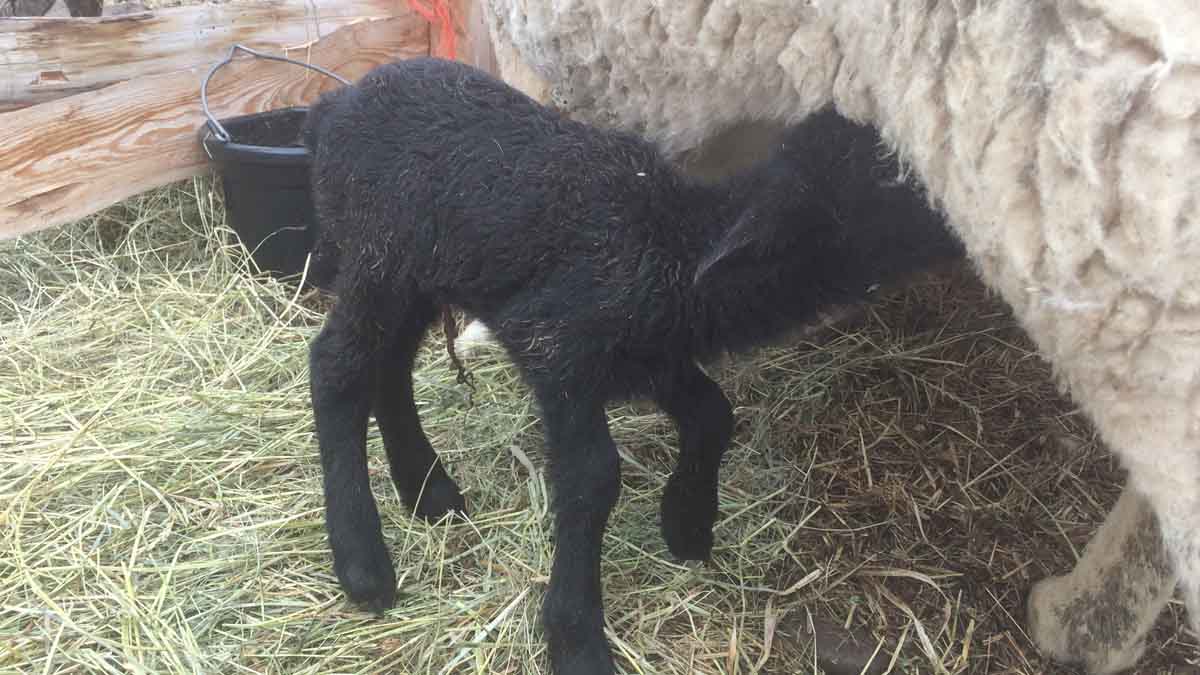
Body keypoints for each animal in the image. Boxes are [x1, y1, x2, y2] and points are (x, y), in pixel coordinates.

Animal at [302, 56, 964, 672]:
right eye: (892, 181)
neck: (677, 245)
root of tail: (334, 106)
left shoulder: (652, 356)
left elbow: (713, 414)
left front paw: (688, 523)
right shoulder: (557, 346)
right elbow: (595, 476)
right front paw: (576, 638)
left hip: (416, 272)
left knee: (389, 366)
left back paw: (428, 490)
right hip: (378, 252)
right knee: (337, 367)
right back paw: (363, 562)